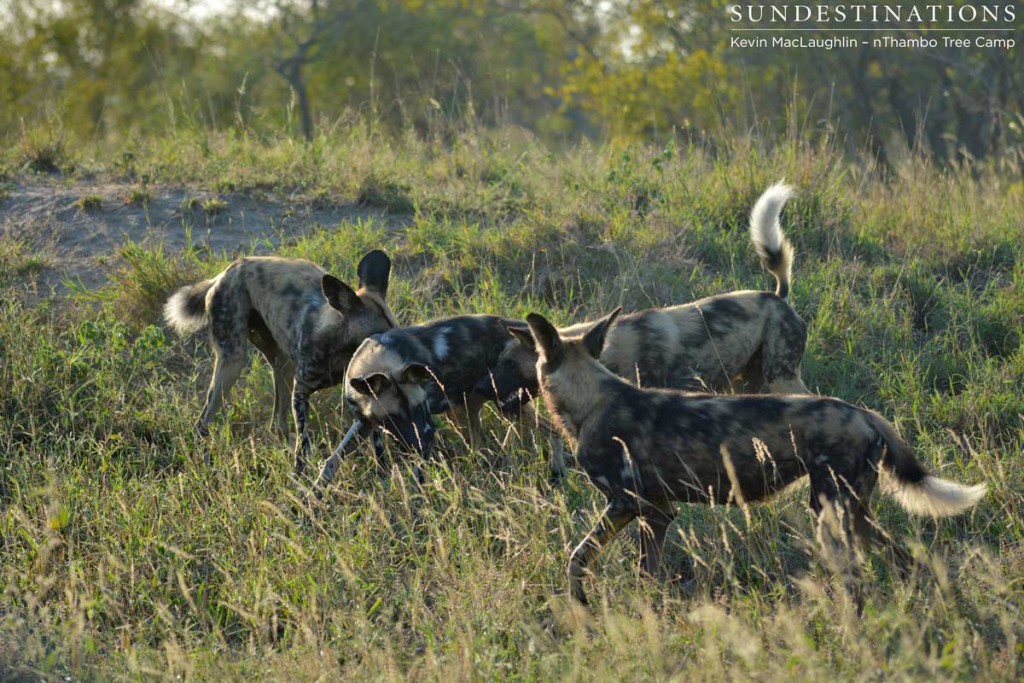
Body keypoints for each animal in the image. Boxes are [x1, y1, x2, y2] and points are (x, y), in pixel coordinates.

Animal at [162, 248, 395, 479]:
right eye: (374, 340)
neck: (340, 352)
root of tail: (224, 273)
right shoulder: (300, 393)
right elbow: (304, 442)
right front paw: (301, 473)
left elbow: (376, 444)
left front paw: (383, 476)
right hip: (232, 363)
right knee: (202, 422)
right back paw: (204, 462)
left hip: (281, 364)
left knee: (277, 423)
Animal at [477, 181, 806, 417]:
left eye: (509, 364)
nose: (481, 388)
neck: (609, 350)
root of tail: (778, 297)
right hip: (748, 382)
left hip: (782, 376)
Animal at [524, 309, 987, 602]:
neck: (593, 399)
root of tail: (865, 414)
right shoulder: (658, 512)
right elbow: (647, 573)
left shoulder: (625, 504)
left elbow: (576, 560)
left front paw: (580, 607)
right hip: (855, 513)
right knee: (907, 561)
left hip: (830, 516)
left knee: (856, 581)